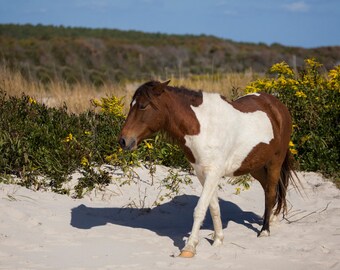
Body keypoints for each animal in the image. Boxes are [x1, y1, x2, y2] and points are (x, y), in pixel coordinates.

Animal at [118, 79, 298, 258]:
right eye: (131, 105)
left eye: (143, 106)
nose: (123, 141)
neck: (203, 127)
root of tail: (278, 106)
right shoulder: (203, 174)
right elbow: (213, 207)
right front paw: (218, 240)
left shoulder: (213, 173)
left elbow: (200, 209)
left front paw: (189, 247)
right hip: (256, 167)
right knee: (269, 190)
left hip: (275, 162)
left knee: (271, 193)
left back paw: (265, 230)